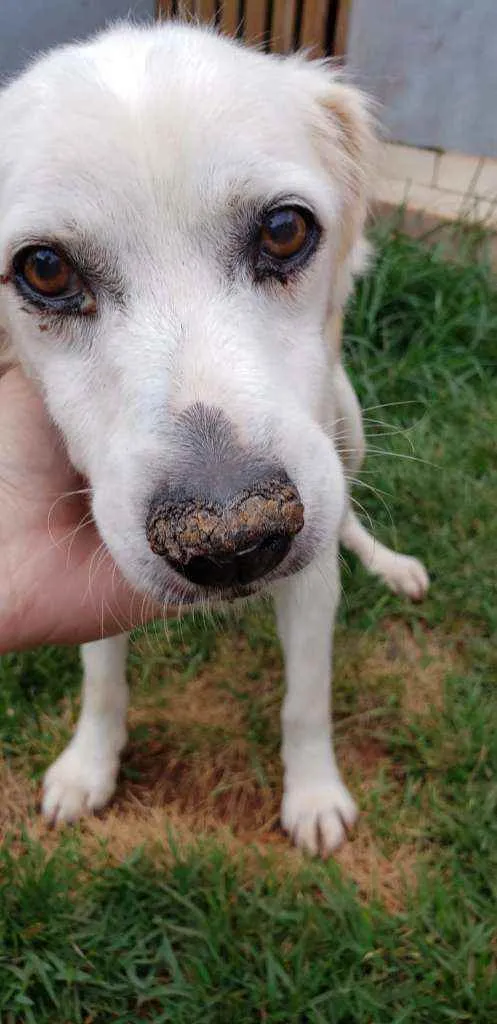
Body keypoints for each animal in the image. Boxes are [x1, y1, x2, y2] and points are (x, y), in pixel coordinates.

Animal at [0, 22, 426, 856]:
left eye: (284, 230)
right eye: (45, 269)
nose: (233, 542)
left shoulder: (311, 578)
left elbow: (305, 699)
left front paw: (314, 795)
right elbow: (102, 680)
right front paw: (87, 766)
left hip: (348, 423)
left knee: (350, 513)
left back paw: (388, 563)